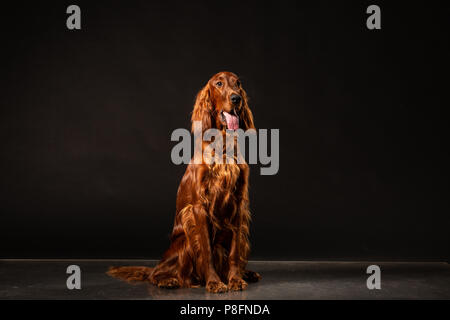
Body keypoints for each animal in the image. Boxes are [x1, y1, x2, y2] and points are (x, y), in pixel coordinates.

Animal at [107, 72, 260, 292]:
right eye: (219, 83)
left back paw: (246, 273)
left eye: (238, 84)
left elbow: (234, 252)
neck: (222, 145)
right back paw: (168, 280)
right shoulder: (198, 207)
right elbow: (206, 250)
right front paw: (214, 282)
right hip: (185, 237)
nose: (236, 98)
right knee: (157, 273)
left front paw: (235, 279)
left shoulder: (238, 204)